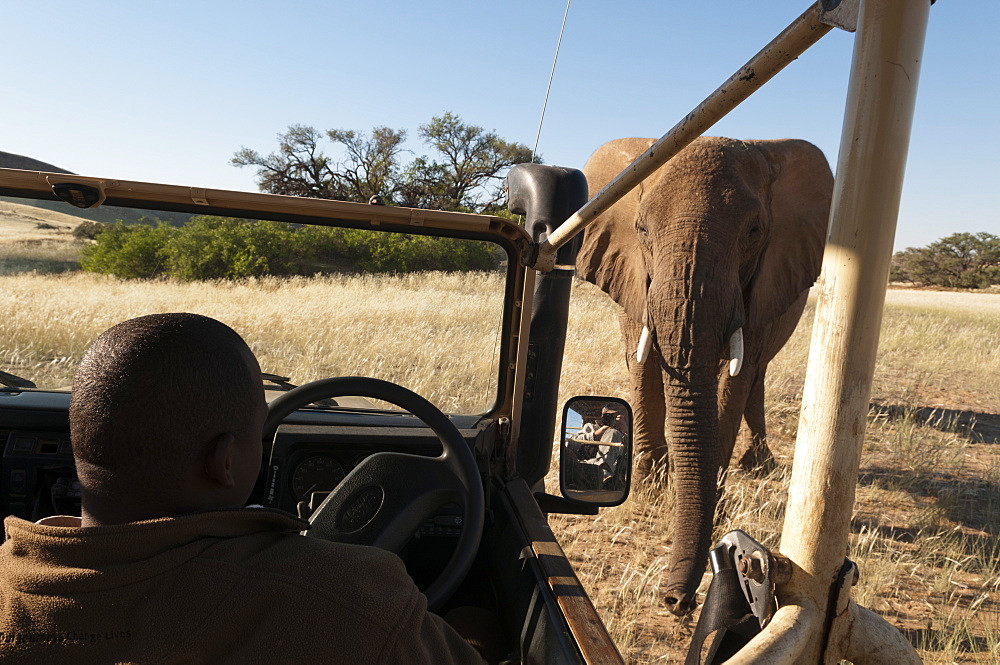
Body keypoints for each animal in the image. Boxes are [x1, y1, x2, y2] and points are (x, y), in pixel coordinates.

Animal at [576, 134, 832, 612]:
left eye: (754, 232)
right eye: (641, 229)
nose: (677, 600)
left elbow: (735, 379)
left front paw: (713, 497)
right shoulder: (632, 274)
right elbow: (641, 362)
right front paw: (650, 487)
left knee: (756, 373)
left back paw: (759, 464)